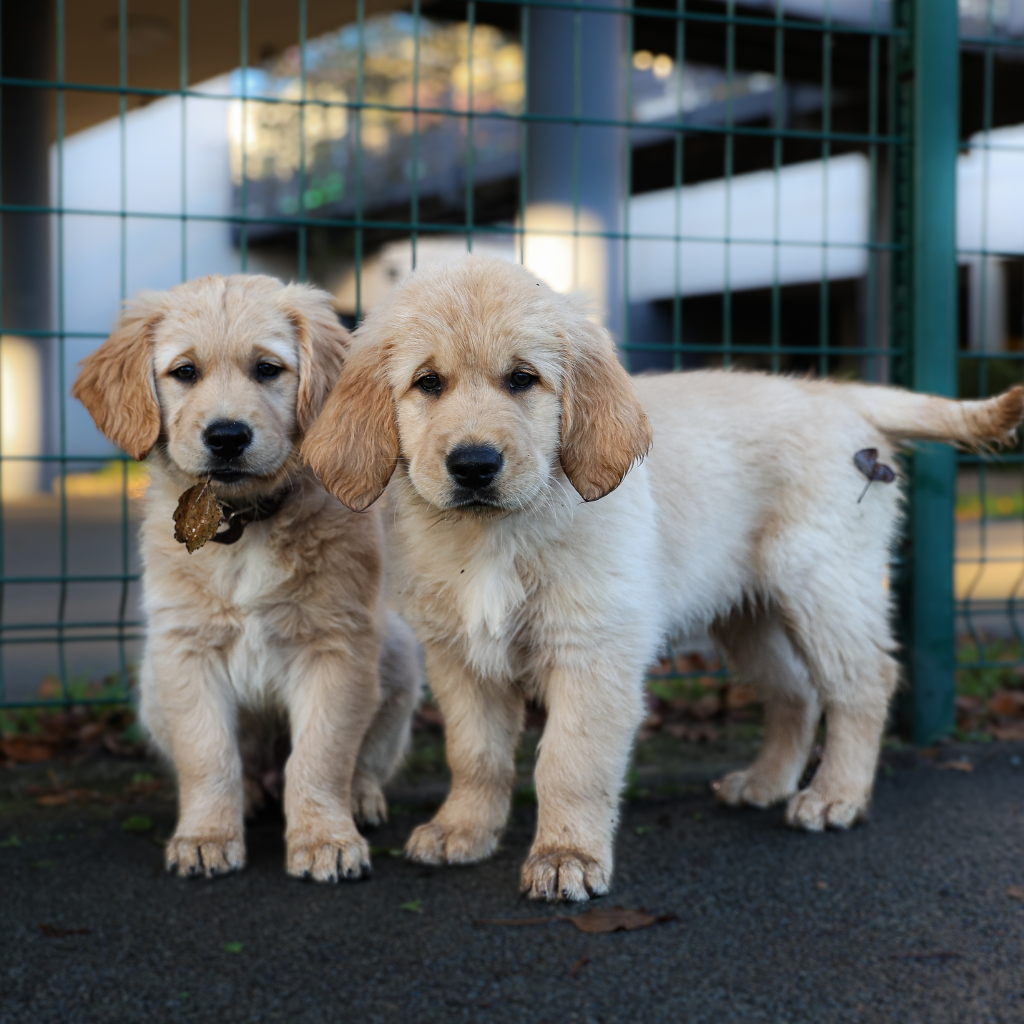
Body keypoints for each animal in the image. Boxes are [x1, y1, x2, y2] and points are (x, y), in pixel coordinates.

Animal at [74, 272, 419, 880]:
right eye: (185, 372)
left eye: (267, 369)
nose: (227, 436)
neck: (245, 524)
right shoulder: (185, 650)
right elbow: (208, 755)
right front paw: (206, 836)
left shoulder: (336, 646)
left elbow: (321, 755)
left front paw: (324, 837)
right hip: (152, 680)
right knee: (246, 768)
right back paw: (254, 796)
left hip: (396, 654)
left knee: (359, 761)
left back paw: (359, 797)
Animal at [303, 258, 1024, 905]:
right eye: (427, 383)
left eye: (522, 379)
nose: (474, 465)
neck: (493, 537)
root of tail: (838, 392)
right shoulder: (461, 657)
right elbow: (474, 754)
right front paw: (463, 830)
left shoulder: (595, 652)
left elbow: (569, 761)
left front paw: (566, 856)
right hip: (747, 614)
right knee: (795, 691)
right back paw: (767, 781)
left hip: (823, 581)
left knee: (863, 682)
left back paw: (835, 795)